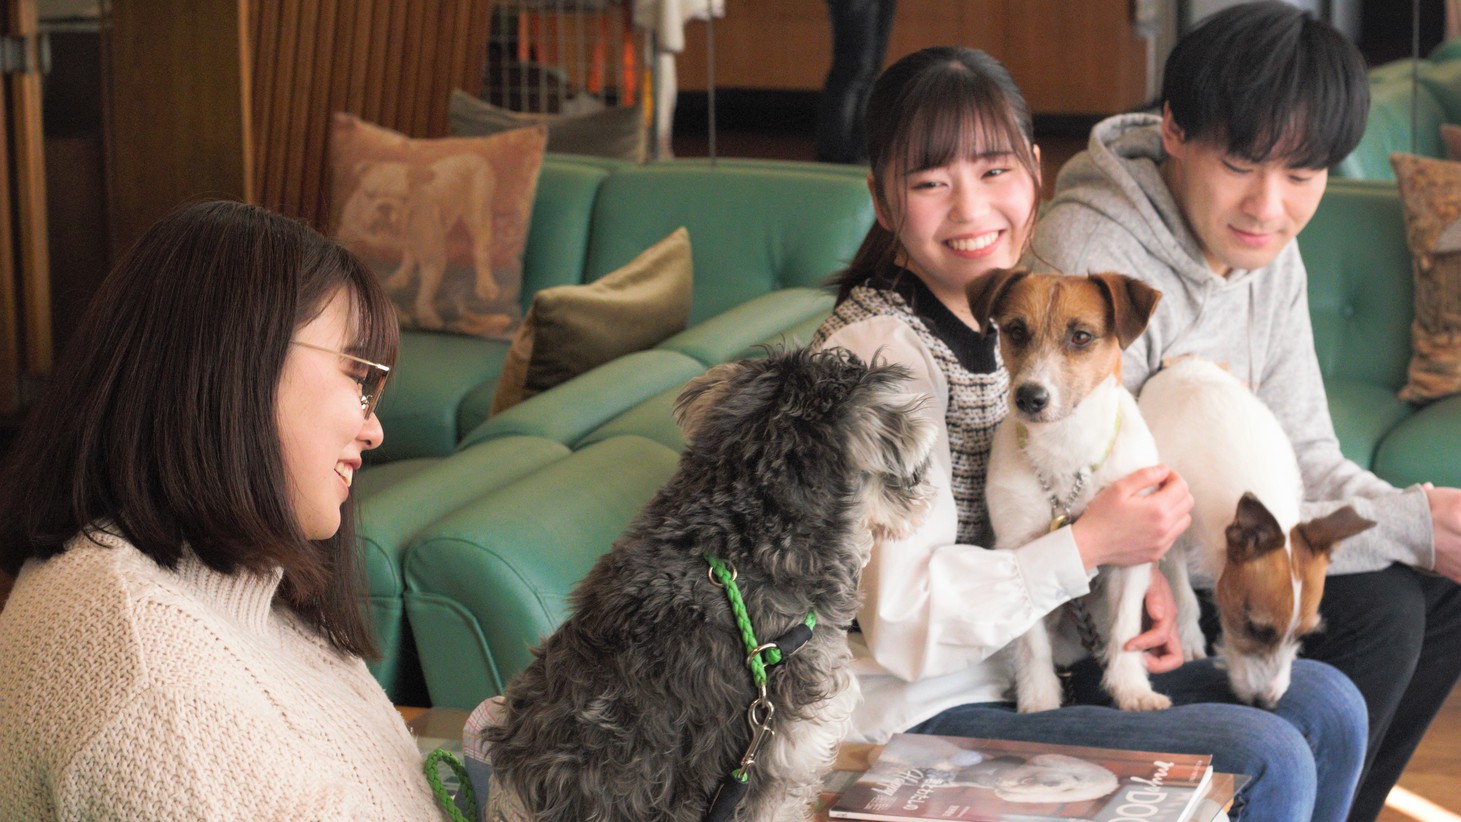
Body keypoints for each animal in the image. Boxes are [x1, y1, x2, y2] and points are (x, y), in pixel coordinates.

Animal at [975, 270, 1168, 715]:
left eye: (1081, 336)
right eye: (1015, 330)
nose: (1029, 397)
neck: (1066, 447)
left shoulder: (1131, 559)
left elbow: (1125, 632)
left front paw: (1131, 689)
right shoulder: (1019, 550)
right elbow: (1032, 645)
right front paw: (1039, 700)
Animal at [1139, 357, 1367, 709]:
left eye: (1302, 635)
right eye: (1256, 628)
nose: (1267, 704)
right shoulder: (1167, 521)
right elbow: (1179, 588)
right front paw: (1188, 637)